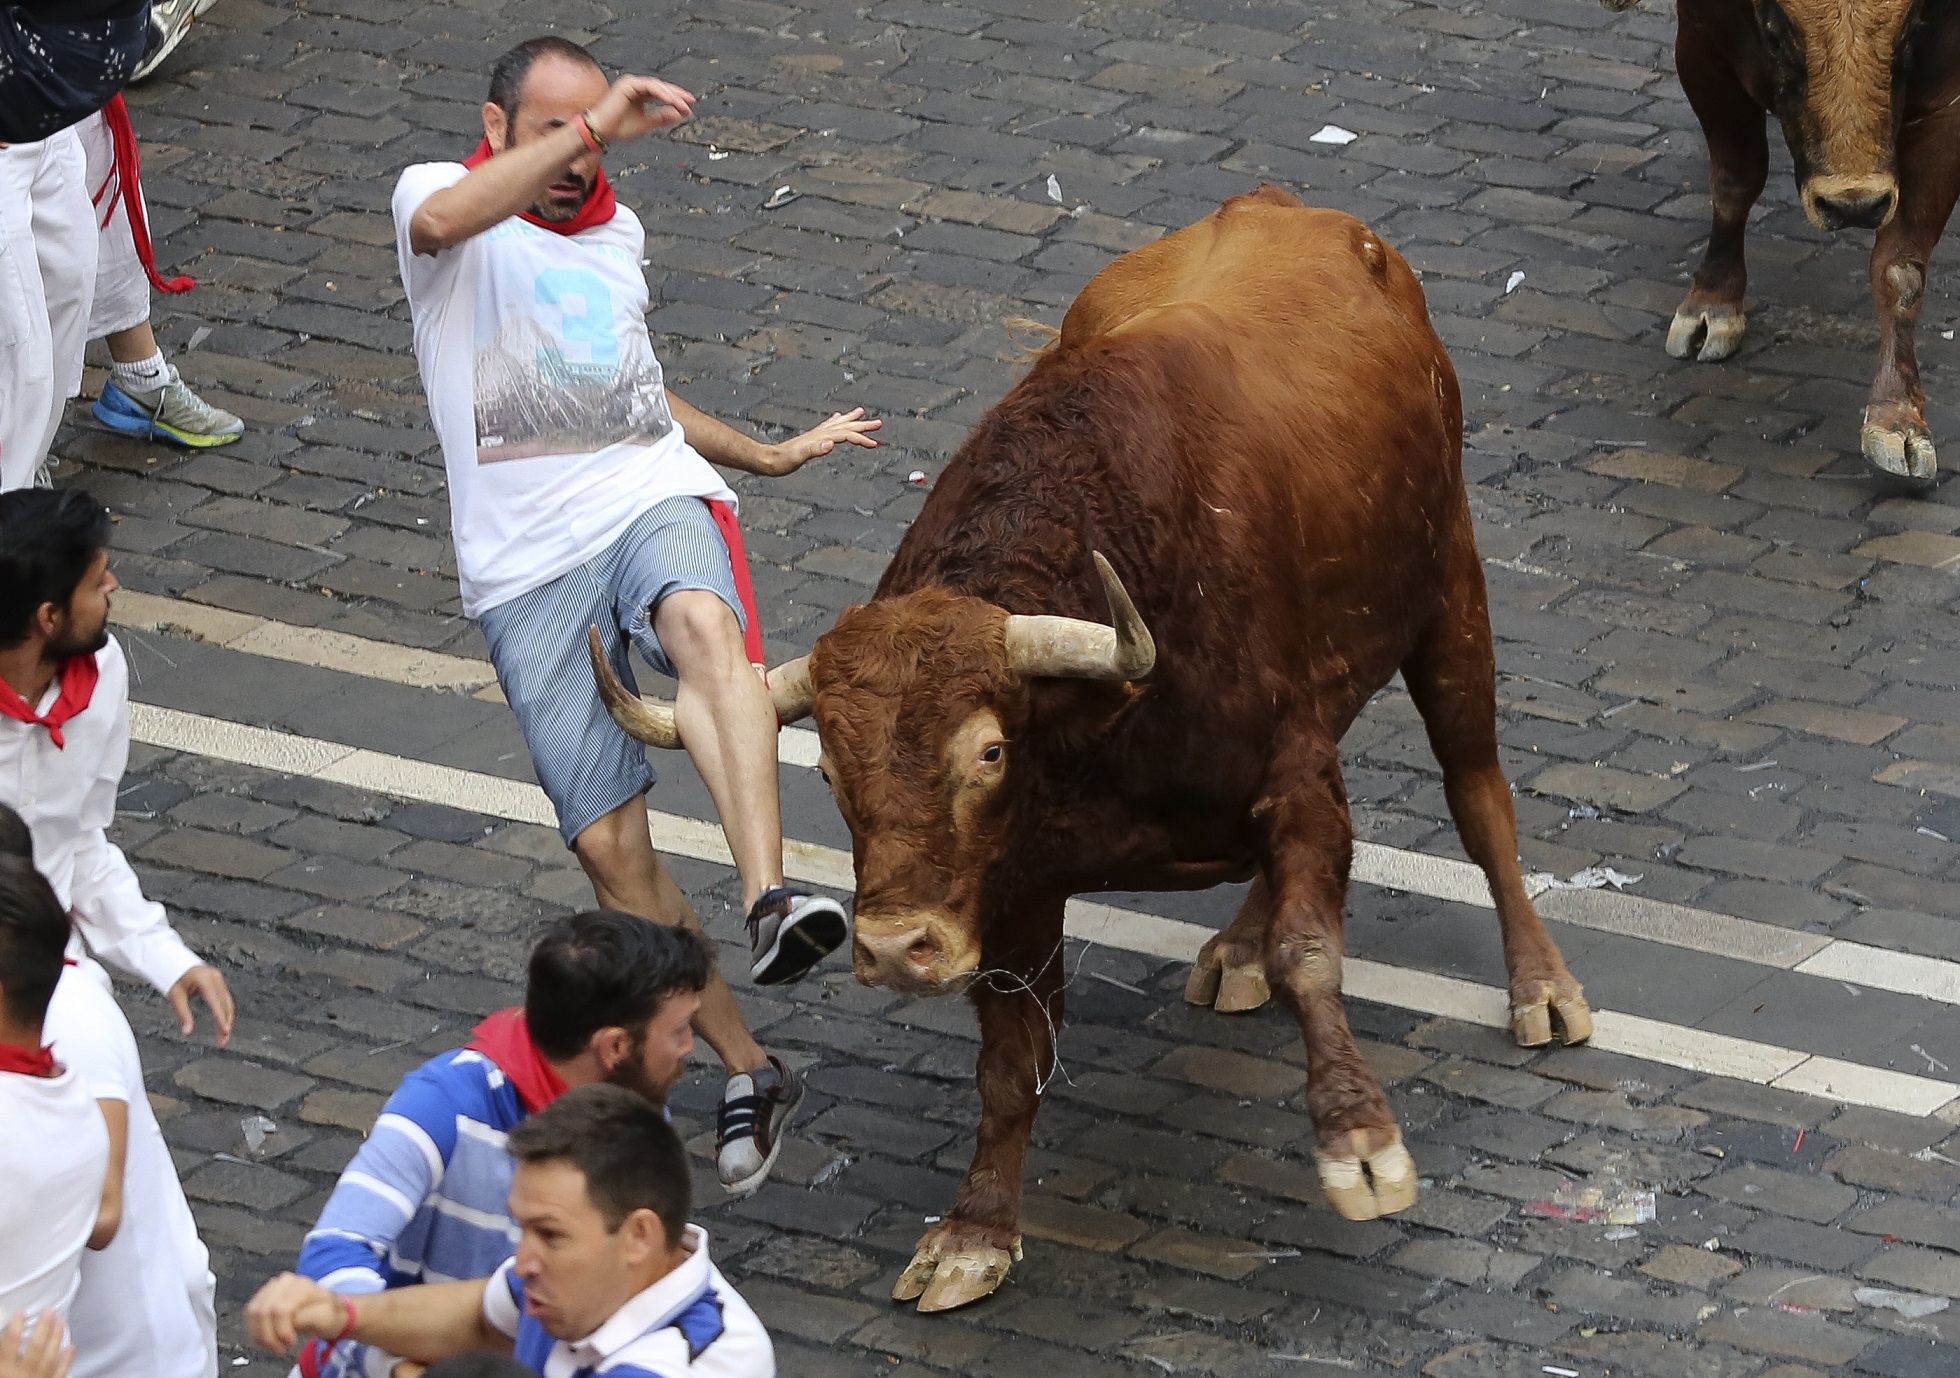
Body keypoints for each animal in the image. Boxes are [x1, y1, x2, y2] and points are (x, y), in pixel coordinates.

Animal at [592, 186, 1593, 1312]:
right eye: (831, 771)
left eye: (988, 753)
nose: (894, 949)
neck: (1099, 719)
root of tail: (1286, 207)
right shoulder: (1013, 889)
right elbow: (1010, 1056)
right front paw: (975, 1230)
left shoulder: (1293, 777)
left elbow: (1313, 951)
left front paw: (1360, 1139)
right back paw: (1235, 945)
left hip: (1452, 591)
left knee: (1478, 791)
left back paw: (1538, 982)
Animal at [1605, 0, 1960, 484]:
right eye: (1775, 36)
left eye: (1909, 33)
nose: (1854, 204)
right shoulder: (1702, 45)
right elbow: (1736, 180)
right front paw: (1713, 303)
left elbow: (1899, 269)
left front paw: (1897, 419)